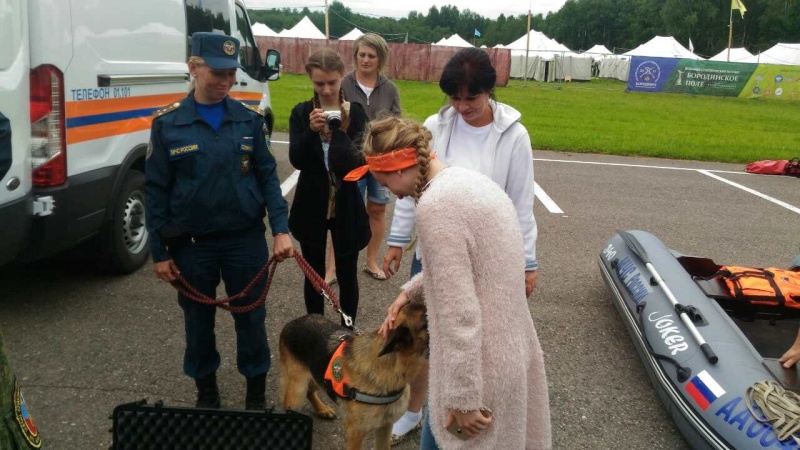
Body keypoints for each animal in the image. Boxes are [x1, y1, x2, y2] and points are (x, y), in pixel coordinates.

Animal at [282, 302, 432, 450]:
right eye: (426, 320)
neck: (391, 363)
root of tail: (294, 322)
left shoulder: (385, 427)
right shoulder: (356, 433)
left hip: (316, 377)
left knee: (310, 392)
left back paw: (322, 409)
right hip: (297, 391)